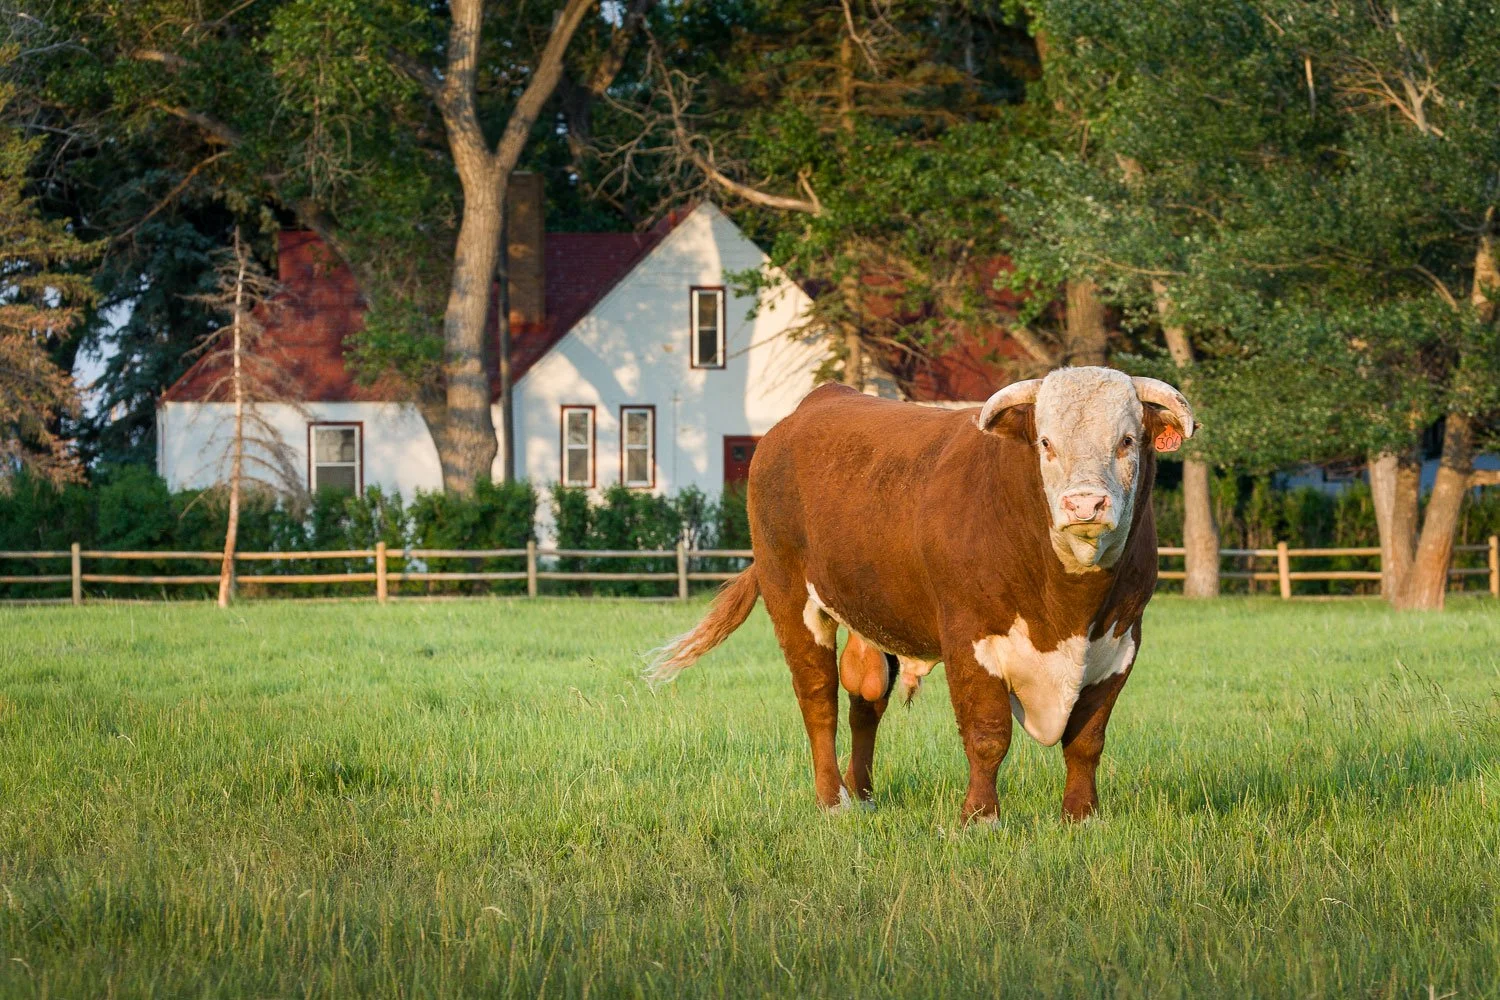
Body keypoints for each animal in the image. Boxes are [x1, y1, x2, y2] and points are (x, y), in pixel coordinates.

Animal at [647, 366, 1195, 823]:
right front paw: (979, 819)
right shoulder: (970, 637)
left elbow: (1086, 740)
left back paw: (863, 795)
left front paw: (1081, 817)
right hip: (790, 596)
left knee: (865, 701)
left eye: (1127, 441)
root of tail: (817, 403)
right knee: (818, 698)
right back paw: (833, 802)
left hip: (874, 612)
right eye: (1046, 442)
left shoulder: (1119, 642)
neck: (1069, 609)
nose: (1085, 503)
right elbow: (987, 734)